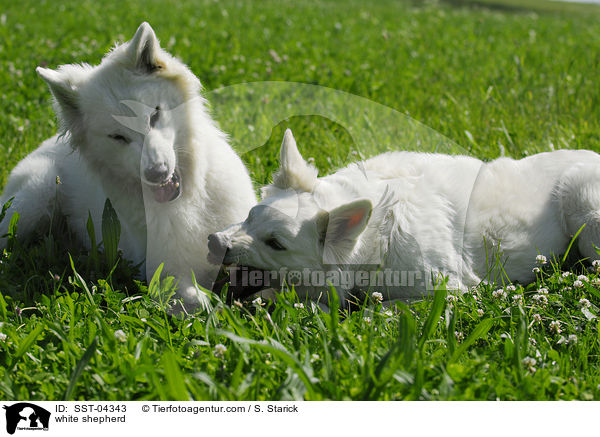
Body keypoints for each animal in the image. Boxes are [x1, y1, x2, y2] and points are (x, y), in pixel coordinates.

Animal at [0, 23, 255, 310]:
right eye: (118, 137)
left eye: (154, 115)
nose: (157, 173)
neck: (190, 197)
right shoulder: (165, 274)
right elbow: (199, 301)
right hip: (34, 199)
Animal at [209, 129, 600, 304]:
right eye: (249, 216)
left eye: (276, 244)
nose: (213, 242)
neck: (376, 237)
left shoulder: (448, 290)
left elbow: (377, 308)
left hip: (583, 207)